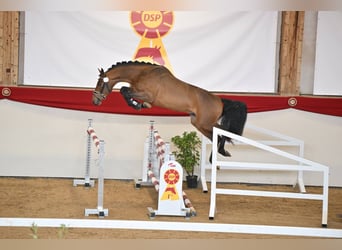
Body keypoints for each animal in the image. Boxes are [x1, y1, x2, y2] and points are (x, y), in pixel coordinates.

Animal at [91, 60, 246, 158]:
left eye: (100, 83)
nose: (94, 101)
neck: (141, 74)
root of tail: (219, 100)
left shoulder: (148, 94)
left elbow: (124, 90)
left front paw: (138, 105)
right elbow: (126, 91)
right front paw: (141, 105)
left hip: (206, 123)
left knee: (223, 132)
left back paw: (221, 152)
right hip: (198, 124)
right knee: (216, 137)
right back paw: (217, 156)